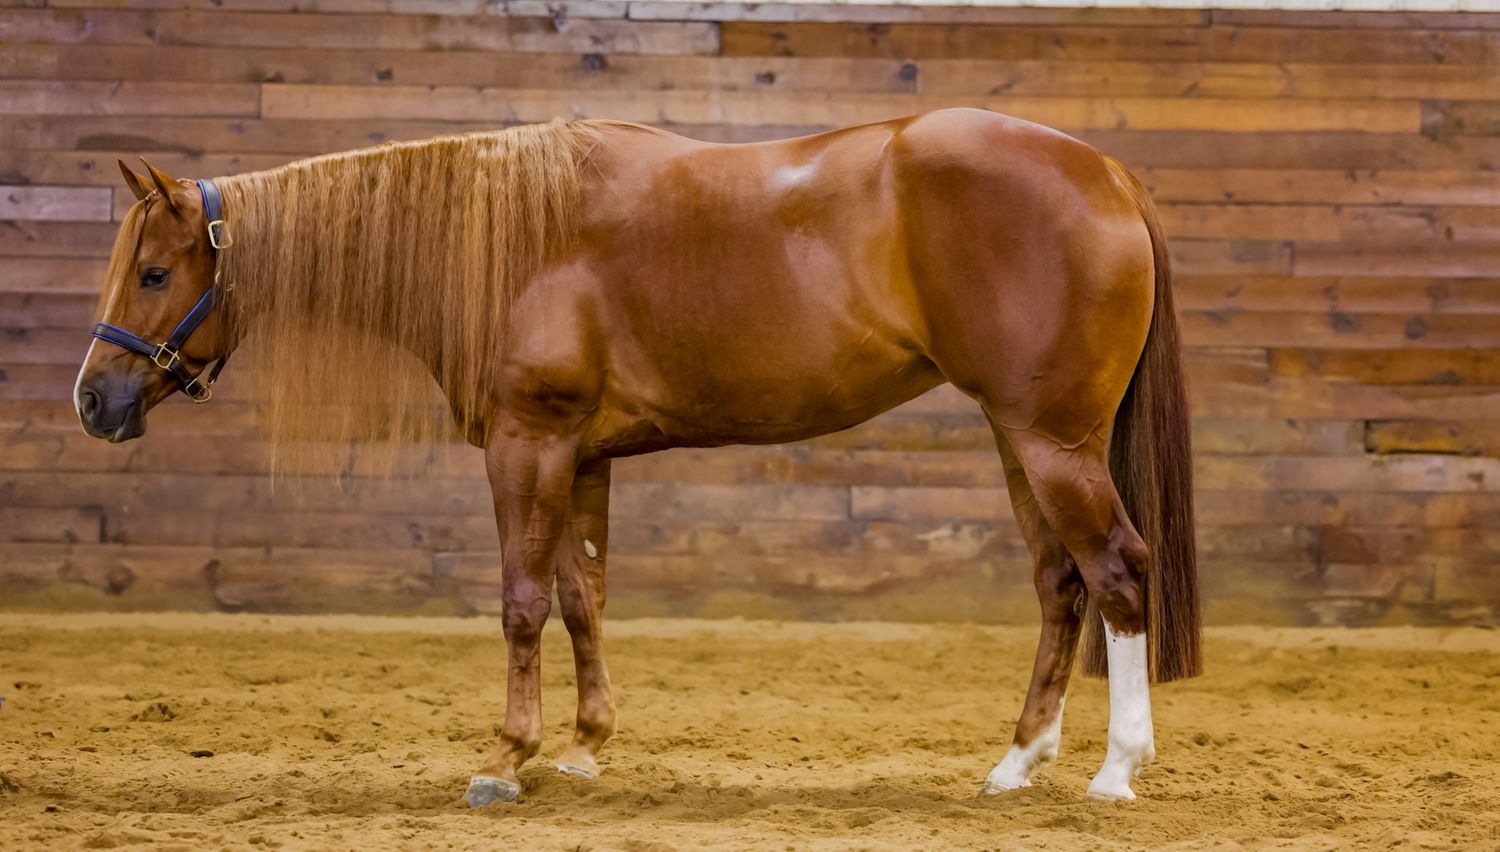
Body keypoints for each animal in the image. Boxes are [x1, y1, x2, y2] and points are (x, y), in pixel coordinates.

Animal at [74, 108, 1200, 805]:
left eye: (156, 272)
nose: (94, 399)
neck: (512, 240)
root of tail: (1107, 173)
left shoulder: (527, 444)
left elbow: (522, 600)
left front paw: (506, 758)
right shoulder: (581, 455)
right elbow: (583, 597)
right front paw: (582, 748)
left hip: (1053, 443)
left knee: (1119, 573)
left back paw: (1115, 770)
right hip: (1022, 442)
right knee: (1060, 585)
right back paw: (1017, 764)